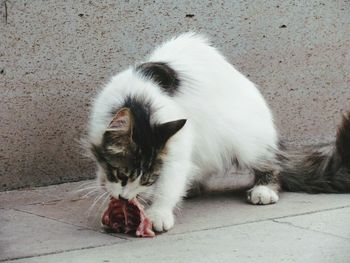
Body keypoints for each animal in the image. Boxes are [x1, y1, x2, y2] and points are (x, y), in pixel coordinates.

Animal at [87, 33, 350, 233]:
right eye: (121, 173)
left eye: (148, 178)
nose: (124, 198)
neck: (139, 102)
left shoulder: (178, 147)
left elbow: (170, 182)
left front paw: (158, 213)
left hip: (244, 137)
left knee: (271, 165)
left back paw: (264, 189)